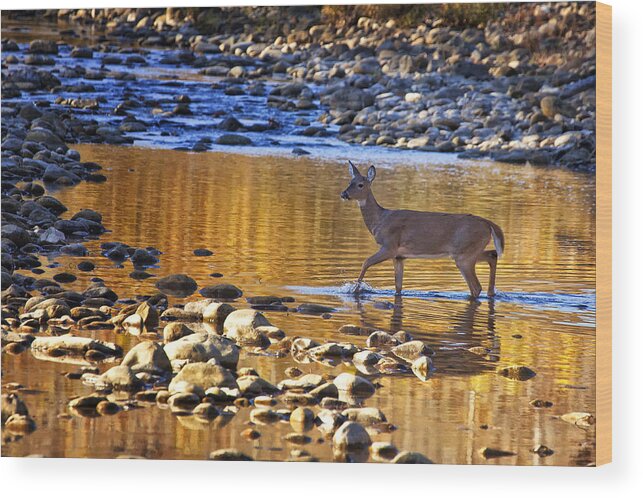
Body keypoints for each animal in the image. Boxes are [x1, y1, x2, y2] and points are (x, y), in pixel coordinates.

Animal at [340, 161, 506, 298]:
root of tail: (488, 223)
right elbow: (398, 286)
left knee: (476, 287)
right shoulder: (399, 256)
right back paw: (492, 293)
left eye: (360, 184)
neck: (380, 221)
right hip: (469, 251)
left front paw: (355, 289)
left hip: (464, 255)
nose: (344, 194)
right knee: (492, 254)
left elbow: (366, 262)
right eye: (349, 181)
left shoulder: (389, 246)